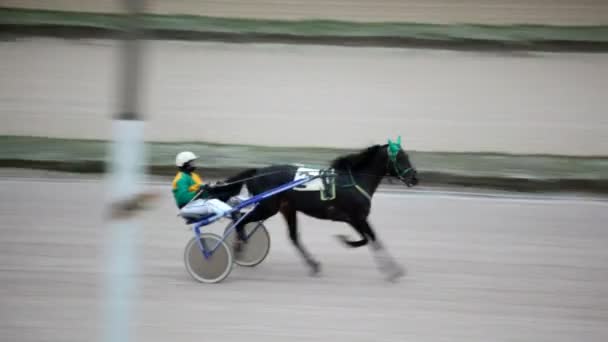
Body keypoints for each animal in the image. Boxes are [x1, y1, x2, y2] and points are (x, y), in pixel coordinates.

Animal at [214, 139, 418, 280]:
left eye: (407, 157)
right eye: (402, 158)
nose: (415, 178)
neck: (354, 180)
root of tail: (257, 172)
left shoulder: (357, 218)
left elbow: (371, 239)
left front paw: (393, 270)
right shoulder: (356, 218)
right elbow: (369, 239)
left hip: (286, 209)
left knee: (292, 236)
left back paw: (313, 264)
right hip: (267, 208)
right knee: (239, 219)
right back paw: (239, 247)